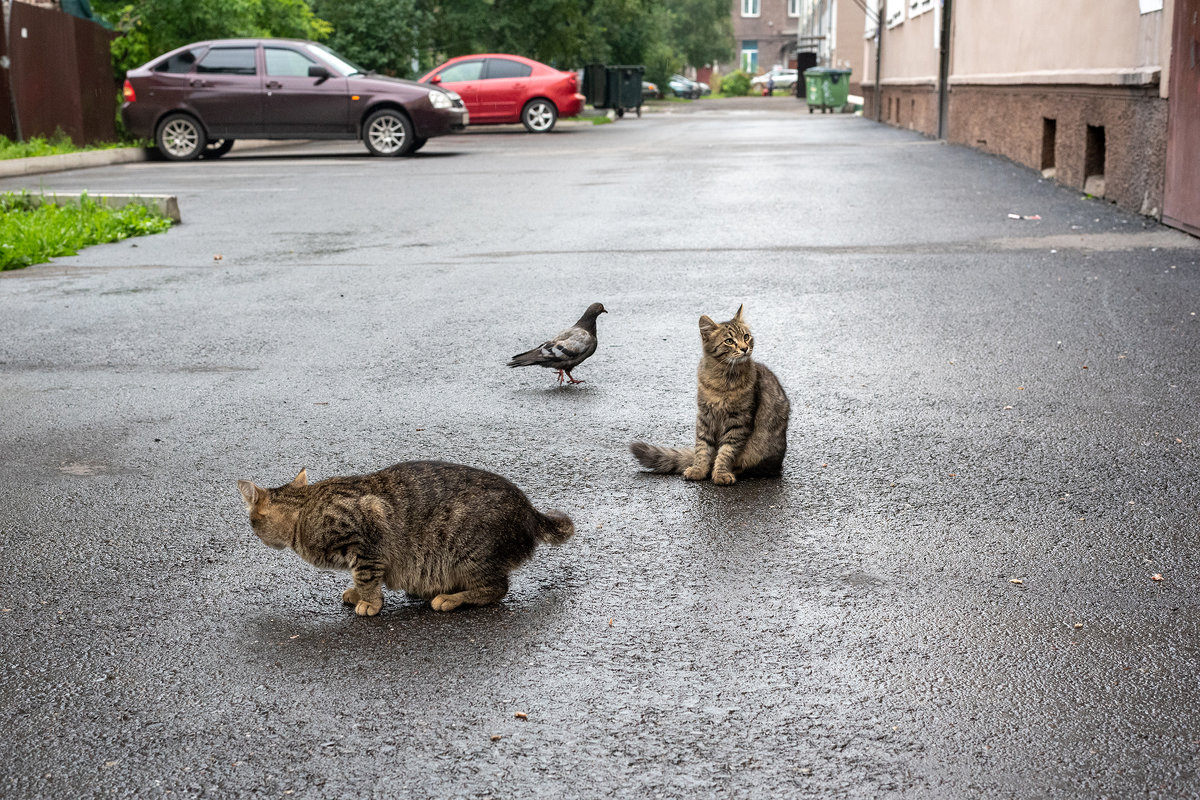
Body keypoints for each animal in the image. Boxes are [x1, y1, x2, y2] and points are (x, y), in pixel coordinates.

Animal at [236, 460, 573, 618]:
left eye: (252, 523)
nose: (257, 537)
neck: (304, 510)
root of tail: (530, 509)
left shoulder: (366, 539)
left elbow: (366, 576)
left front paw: (369, 601)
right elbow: (363, 577)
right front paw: (358, 593)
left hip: (469, 551)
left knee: (497, 588)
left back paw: (451, 598)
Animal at [628, 303, 787, 484]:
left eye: (746, 337)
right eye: (729, 341)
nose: (745, 348)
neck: (722, 380)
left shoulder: (739, 420)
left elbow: (726, 451)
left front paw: (721, 473)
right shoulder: (705, 416)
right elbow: (702, 447)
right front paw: (699, 469)